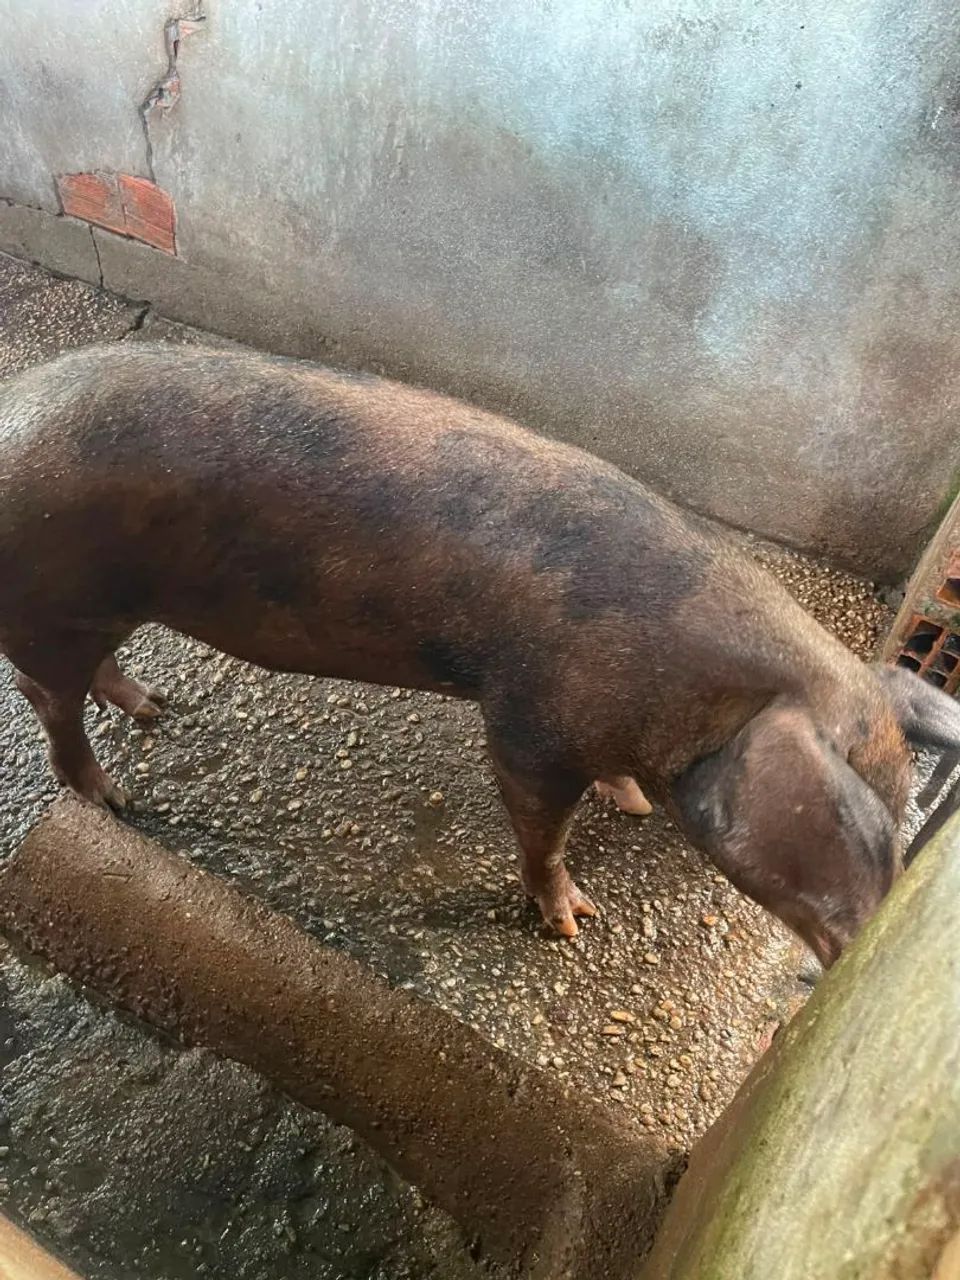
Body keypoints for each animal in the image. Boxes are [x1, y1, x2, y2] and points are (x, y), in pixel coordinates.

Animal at [1, 342, 957, 967]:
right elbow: (539, 828)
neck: (690, 697)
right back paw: (116, 800)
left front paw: (631, 804)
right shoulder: (528, 727)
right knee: (46, 701)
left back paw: (157, 709)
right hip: (51, 607)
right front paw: (572, 923)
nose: (850, 950)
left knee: (91, 676)